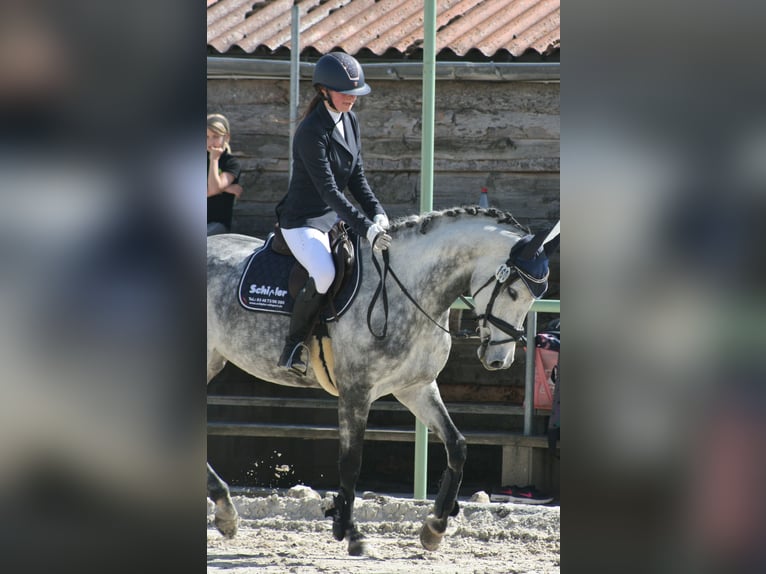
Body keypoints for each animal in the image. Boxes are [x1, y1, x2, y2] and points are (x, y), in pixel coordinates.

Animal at [207, 208, 560, 560]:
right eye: (513, 292)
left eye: (536, 297)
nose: (499, 360)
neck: (411, 289)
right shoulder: (356, 391)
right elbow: (351, 463)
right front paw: (351, 533)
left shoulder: (416, 387)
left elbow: (457, 446)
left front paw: (435, 527)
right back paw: (225, 510)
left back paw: (226, 511)